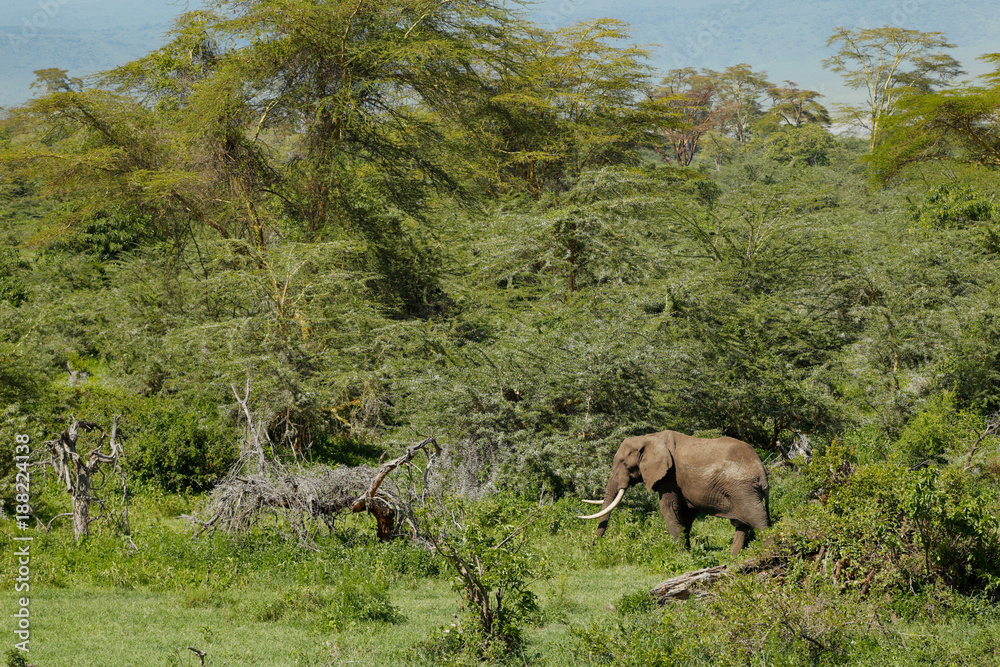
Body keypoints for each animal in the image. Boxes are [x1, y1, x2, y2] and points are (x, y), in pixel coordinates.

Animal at [579, 430, 770, 555]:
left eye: (624, 463)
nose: (594, 546)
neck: (649, 438)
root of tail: (762, 470)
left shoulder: (670, 476)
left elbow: (669, 507)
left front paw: (681, 555)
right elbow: (685, 514)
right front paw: (687, 552)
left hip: (742, 487)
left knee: (758, 518)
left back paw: (768, 552)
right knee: (742, 523)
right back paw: (734, 556)